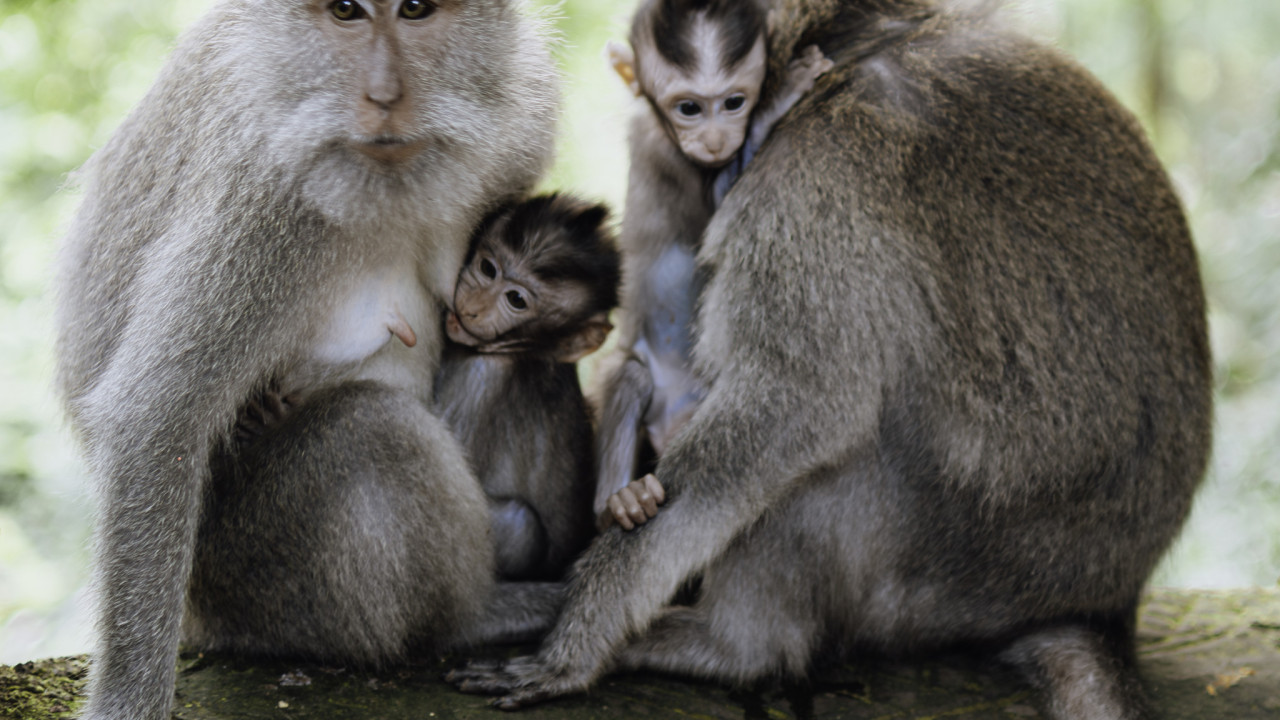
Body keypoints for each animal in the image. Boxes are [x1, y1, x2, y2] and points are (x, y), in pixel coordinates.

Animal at [52, 0, 563, 718]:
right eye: (346, 12)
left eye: (416, 10)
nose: (383, 99)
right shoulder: (266, 194)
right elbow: (157, 422)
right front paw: (129, 698)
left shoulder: (522, 117)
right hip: (256, 574)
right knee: (374, 429)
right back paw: (471, 619)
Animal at [434, 193, 621, 580]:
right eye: (488, 269)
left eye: (516, 300)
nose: (473, 309)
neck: (527, 352)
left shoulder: (483, 375)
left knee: (520, 524)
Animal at [593, 0, 834, 523]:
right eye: (689, 108)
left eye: (734, 102)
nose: (716, 139)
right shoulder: (672, 159)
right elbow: (717, 212)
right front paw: (783, 97)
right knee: (629, 375)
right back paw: (617, 501)